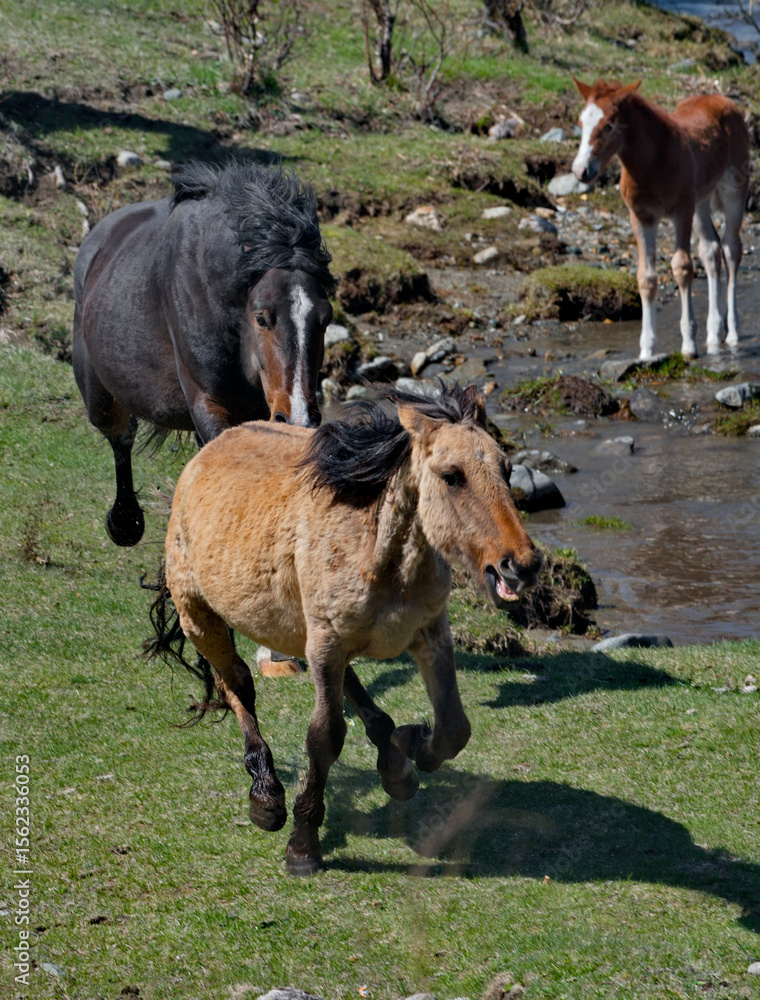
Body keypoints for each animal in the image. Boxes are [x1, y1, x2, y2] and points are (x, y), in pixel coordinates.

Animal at [73, 159, 336, 549]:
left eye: (325, 319)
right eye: (261, 317)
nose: (299, 416)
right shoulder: (210, 403)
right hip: (102, 400)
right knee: (121, 436)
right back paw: (125, 523)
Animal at [147, 382, 543, 875]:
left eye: (507, 470)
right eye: (452, 476)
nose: (521, 565)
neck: (376, 550)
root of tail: (206, 453)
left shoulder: (430, 634)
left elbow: (454, 727)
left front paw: (412, 745)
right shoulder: (327, 645)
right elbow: (325, 737)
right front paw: (302, 844)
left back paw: (393, 759)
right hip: (200, 617)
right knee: (237, 685)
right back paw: (266, 795)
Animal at [571, 78, 749, 360]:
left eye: (609, 125)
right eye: (580, 122)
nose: (581, 171)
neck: (652, 163)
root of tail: (723, 100)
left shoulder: (681, 212)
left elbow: (682, 268)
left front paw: (688, 345)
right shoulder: (641, 217)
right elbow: (646, 277)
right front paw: (646, 350)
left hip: (733, 189)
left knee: (731, 248)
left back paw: (731, 333)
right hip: (701, 201)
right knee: (710, 250)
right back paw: (712, 334)